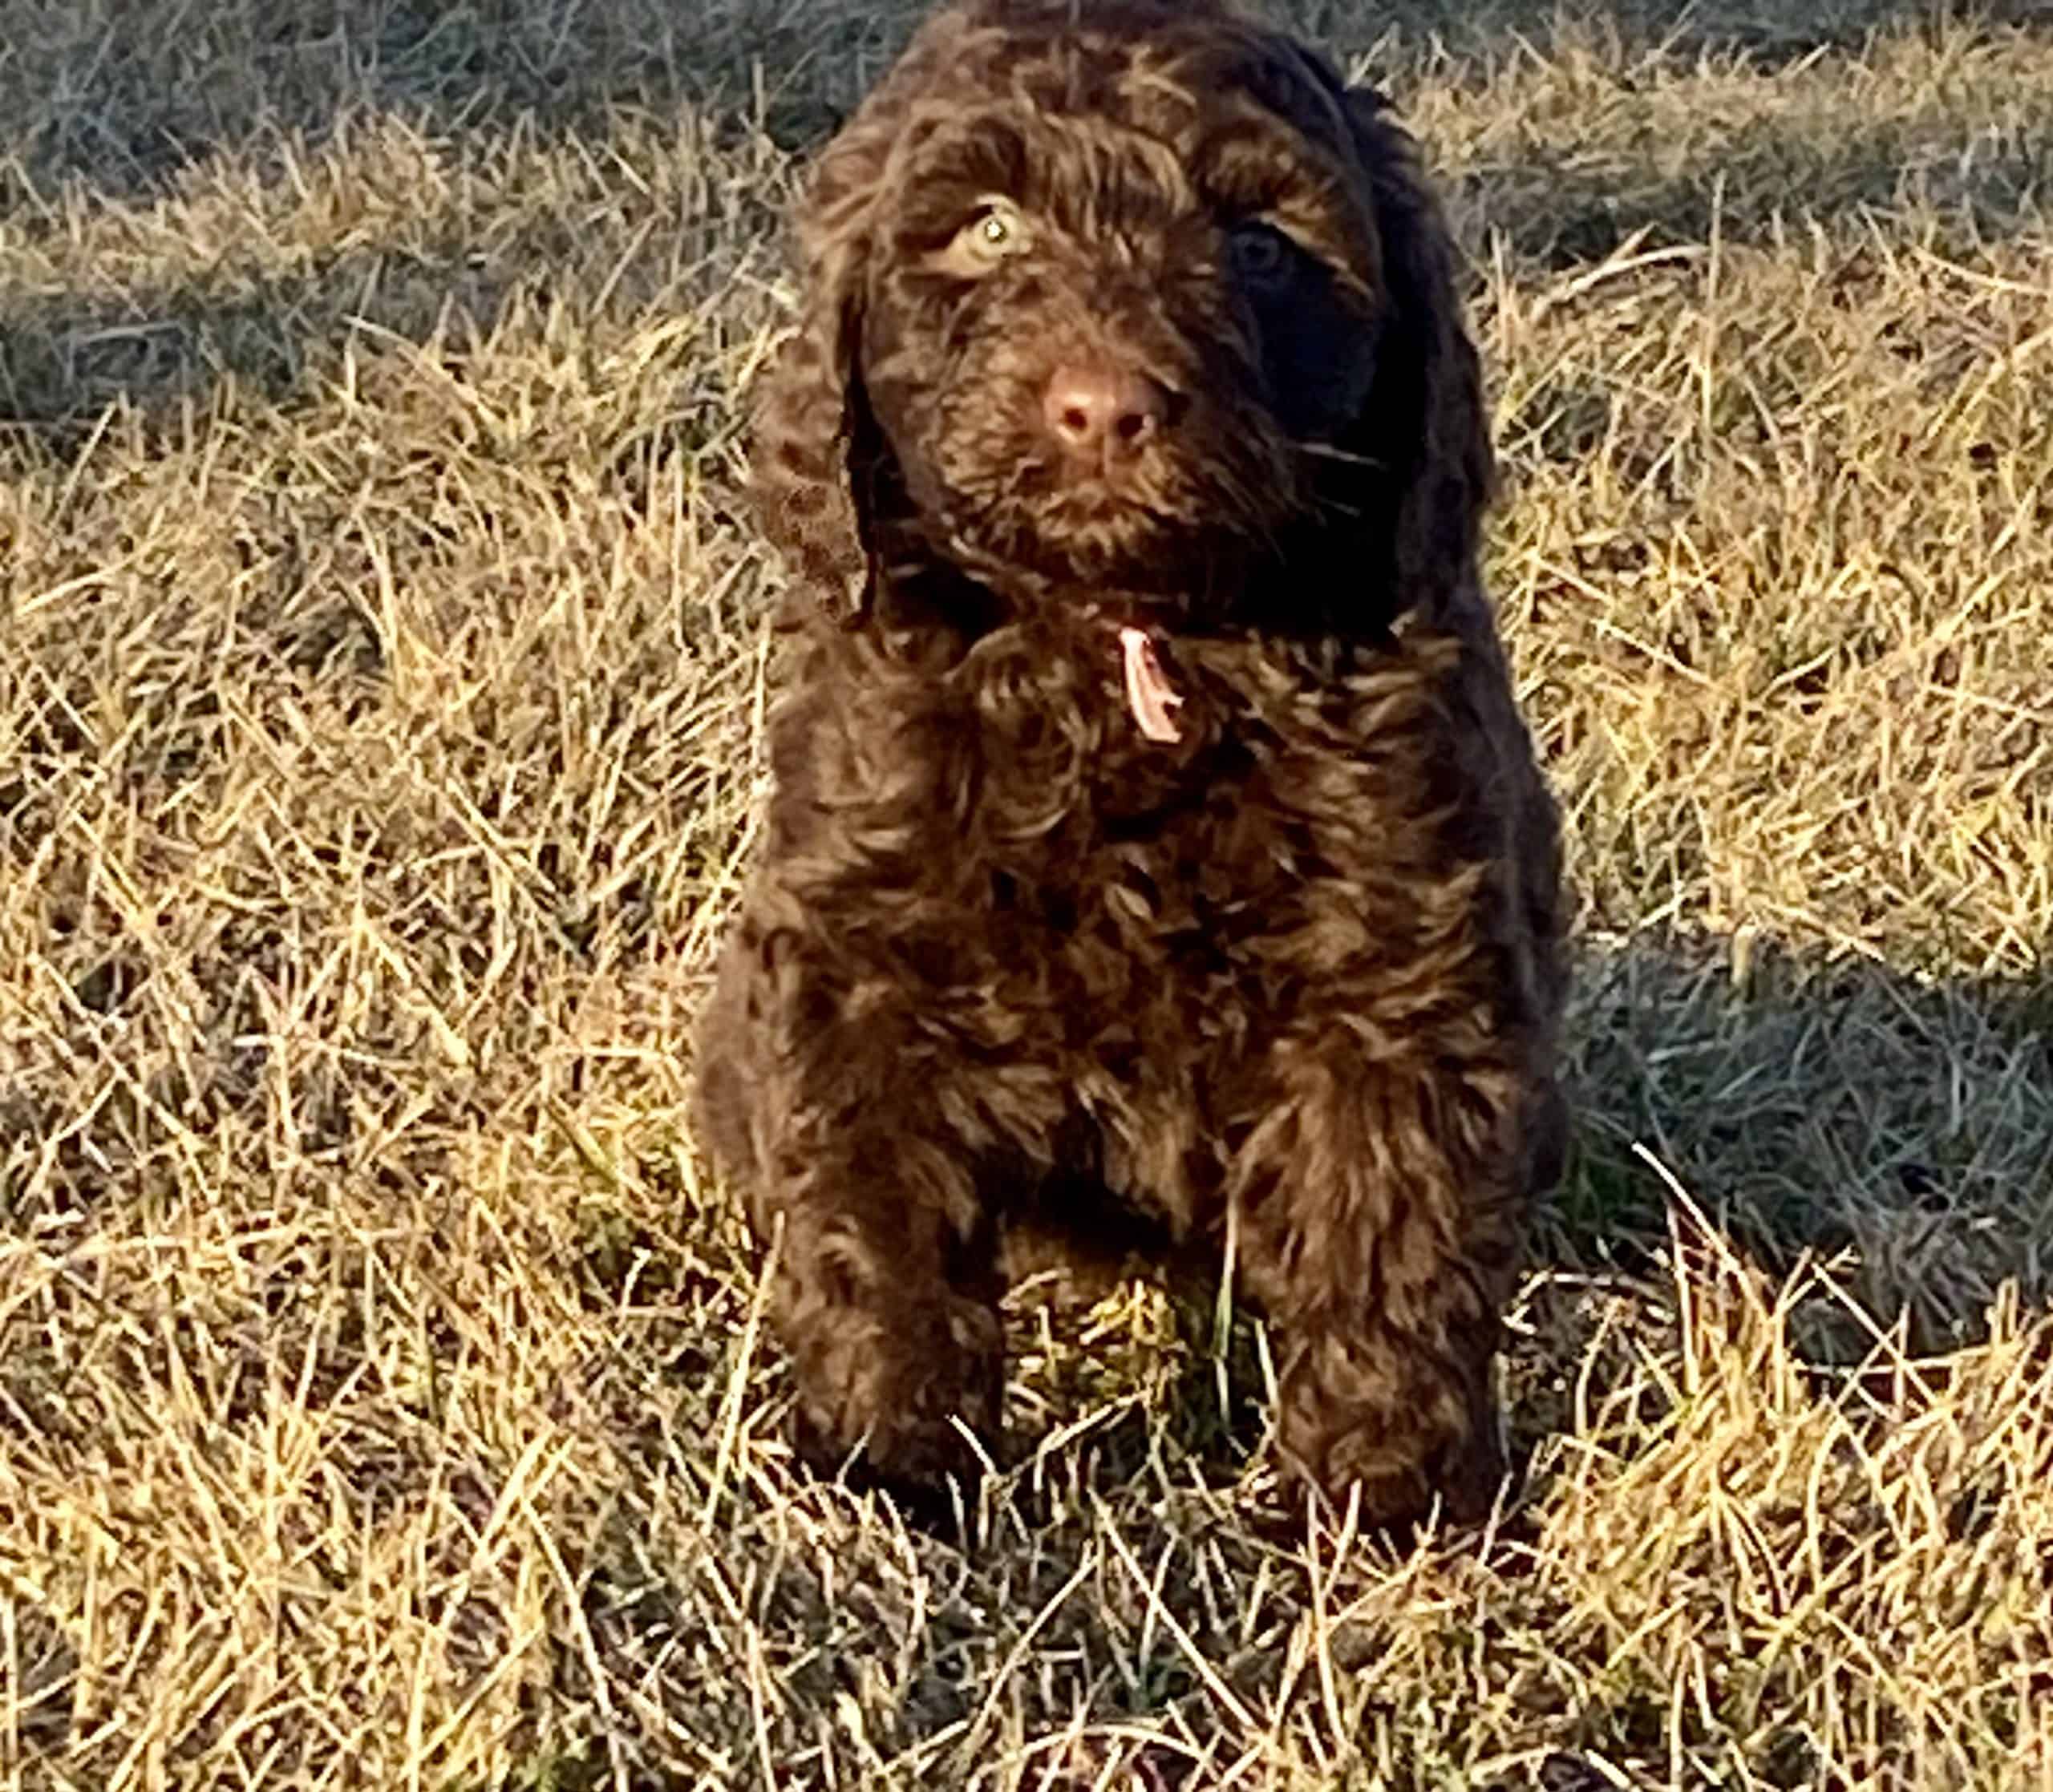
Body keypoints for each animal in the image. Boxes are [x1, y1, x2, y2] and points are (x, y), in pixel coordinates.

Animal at [694, 0, 1568, 1527]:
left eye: (1262, 247)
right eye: (988, 229)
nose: (1104, 409)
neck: (1122, 656)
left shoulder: (1397, 962)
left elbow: (1384, 1214)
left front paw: (1382, 1495)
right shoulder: (856, 955)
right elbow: (874, 1220)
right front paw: (886, 1467)